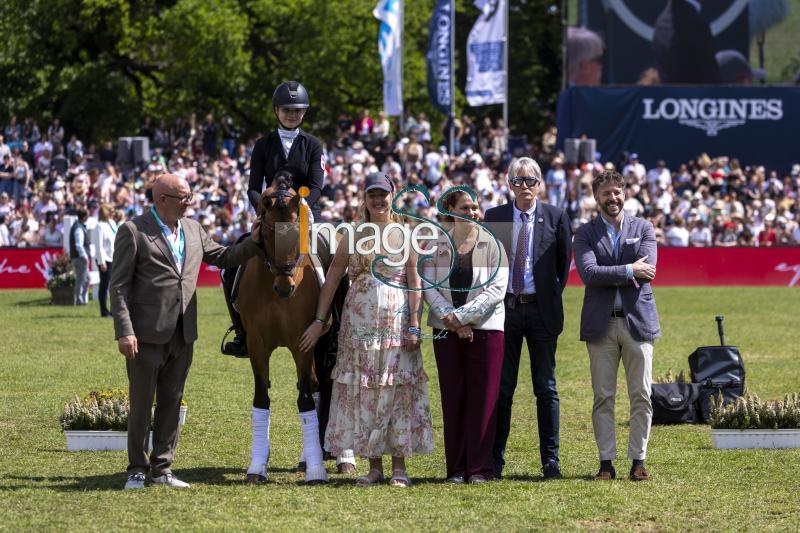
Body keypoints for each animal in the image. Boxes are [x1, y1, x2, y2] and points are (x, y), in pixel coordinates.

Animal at [236, 172, 330, 484]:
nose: (285, 287)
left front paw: (316, 470)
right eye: (266, 236)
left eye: (297, 235)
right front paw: (257, 466)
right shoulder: (256, 345)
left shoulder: (303, 343)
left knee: (318, 387)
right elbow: (261, 397)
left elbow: (305, 400)